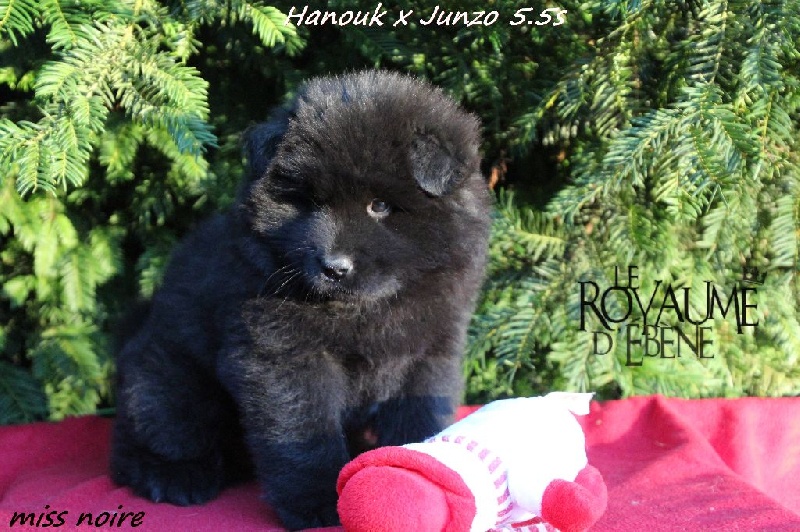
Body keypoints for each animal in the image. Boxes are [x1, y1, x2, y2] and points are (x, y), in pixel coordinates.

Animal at [111, 70, 492, 530]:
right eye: (309, 202)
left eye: (380, 205)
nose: (333, 267)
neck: (366, 307)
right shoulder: (283, 354)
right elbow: (303, 430)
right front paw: (319, 503)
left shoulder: (430, 349)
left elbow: (420, 413)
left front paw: (418, 473)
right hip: (166, 381)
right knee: (150, 438)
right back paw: (175, 478)